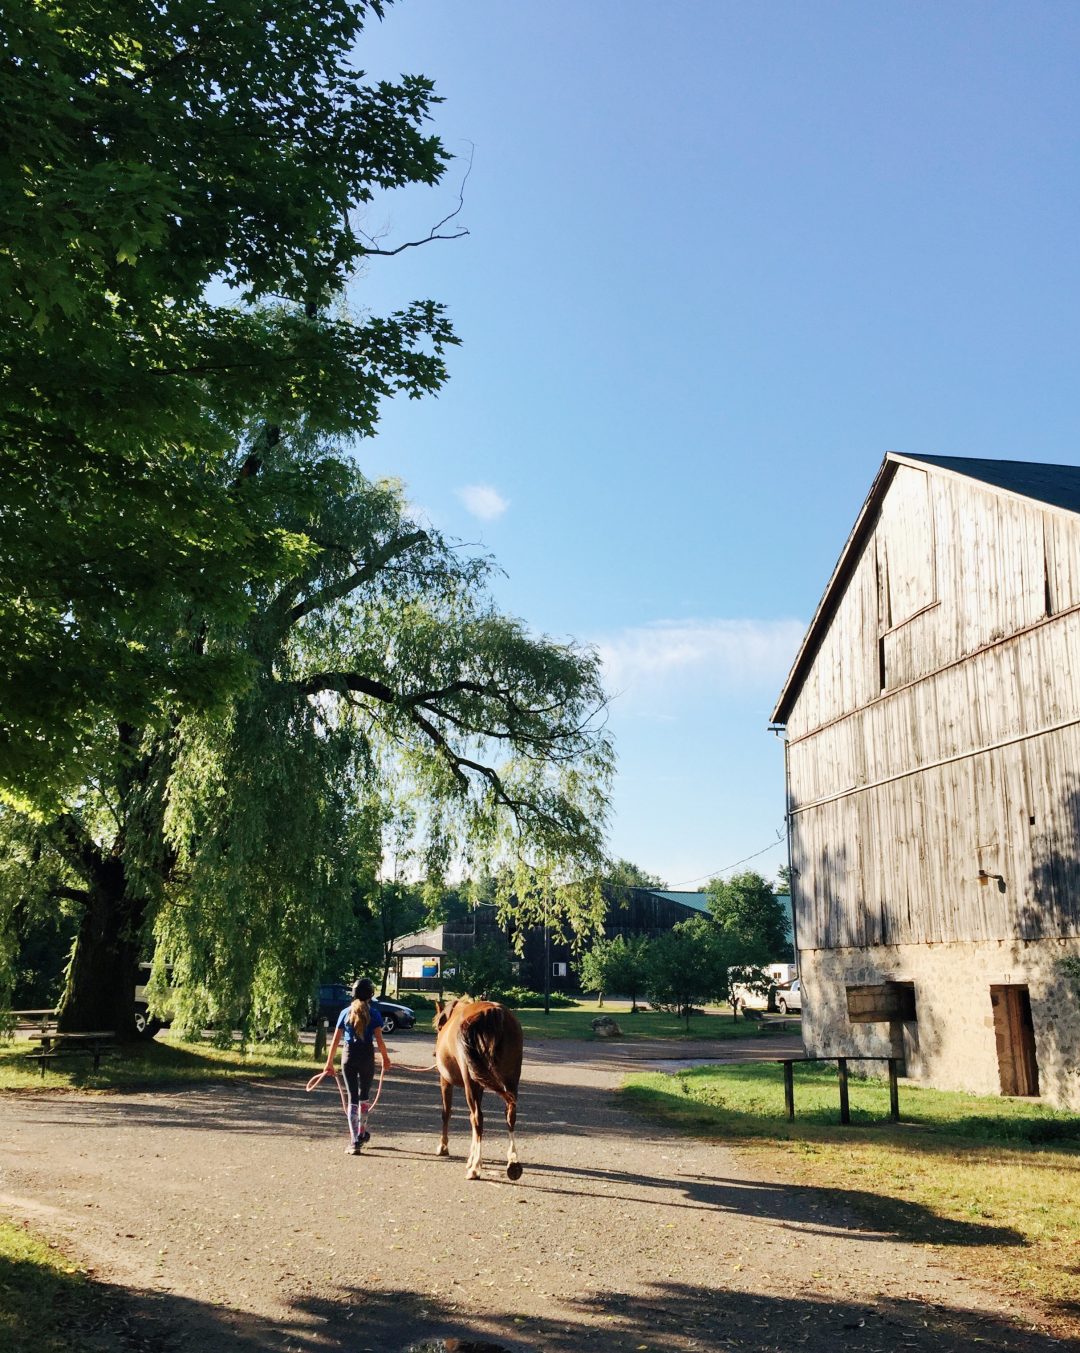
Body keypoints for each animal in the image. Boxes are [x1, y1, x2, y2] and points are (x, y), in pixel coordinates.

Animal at [438, 1001, 527, 1179]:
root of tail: (492, 1012)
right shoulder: (480, 1086)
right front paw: (471, 1157)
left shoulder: (446, 1081)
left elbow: (447, 1113)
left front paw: (444, 1147)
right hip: (511, 1080)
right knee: (510, 1115)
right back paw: (513, 1163)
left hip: (470, 1082)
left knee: (477, 1118)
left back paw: (475, 1168)